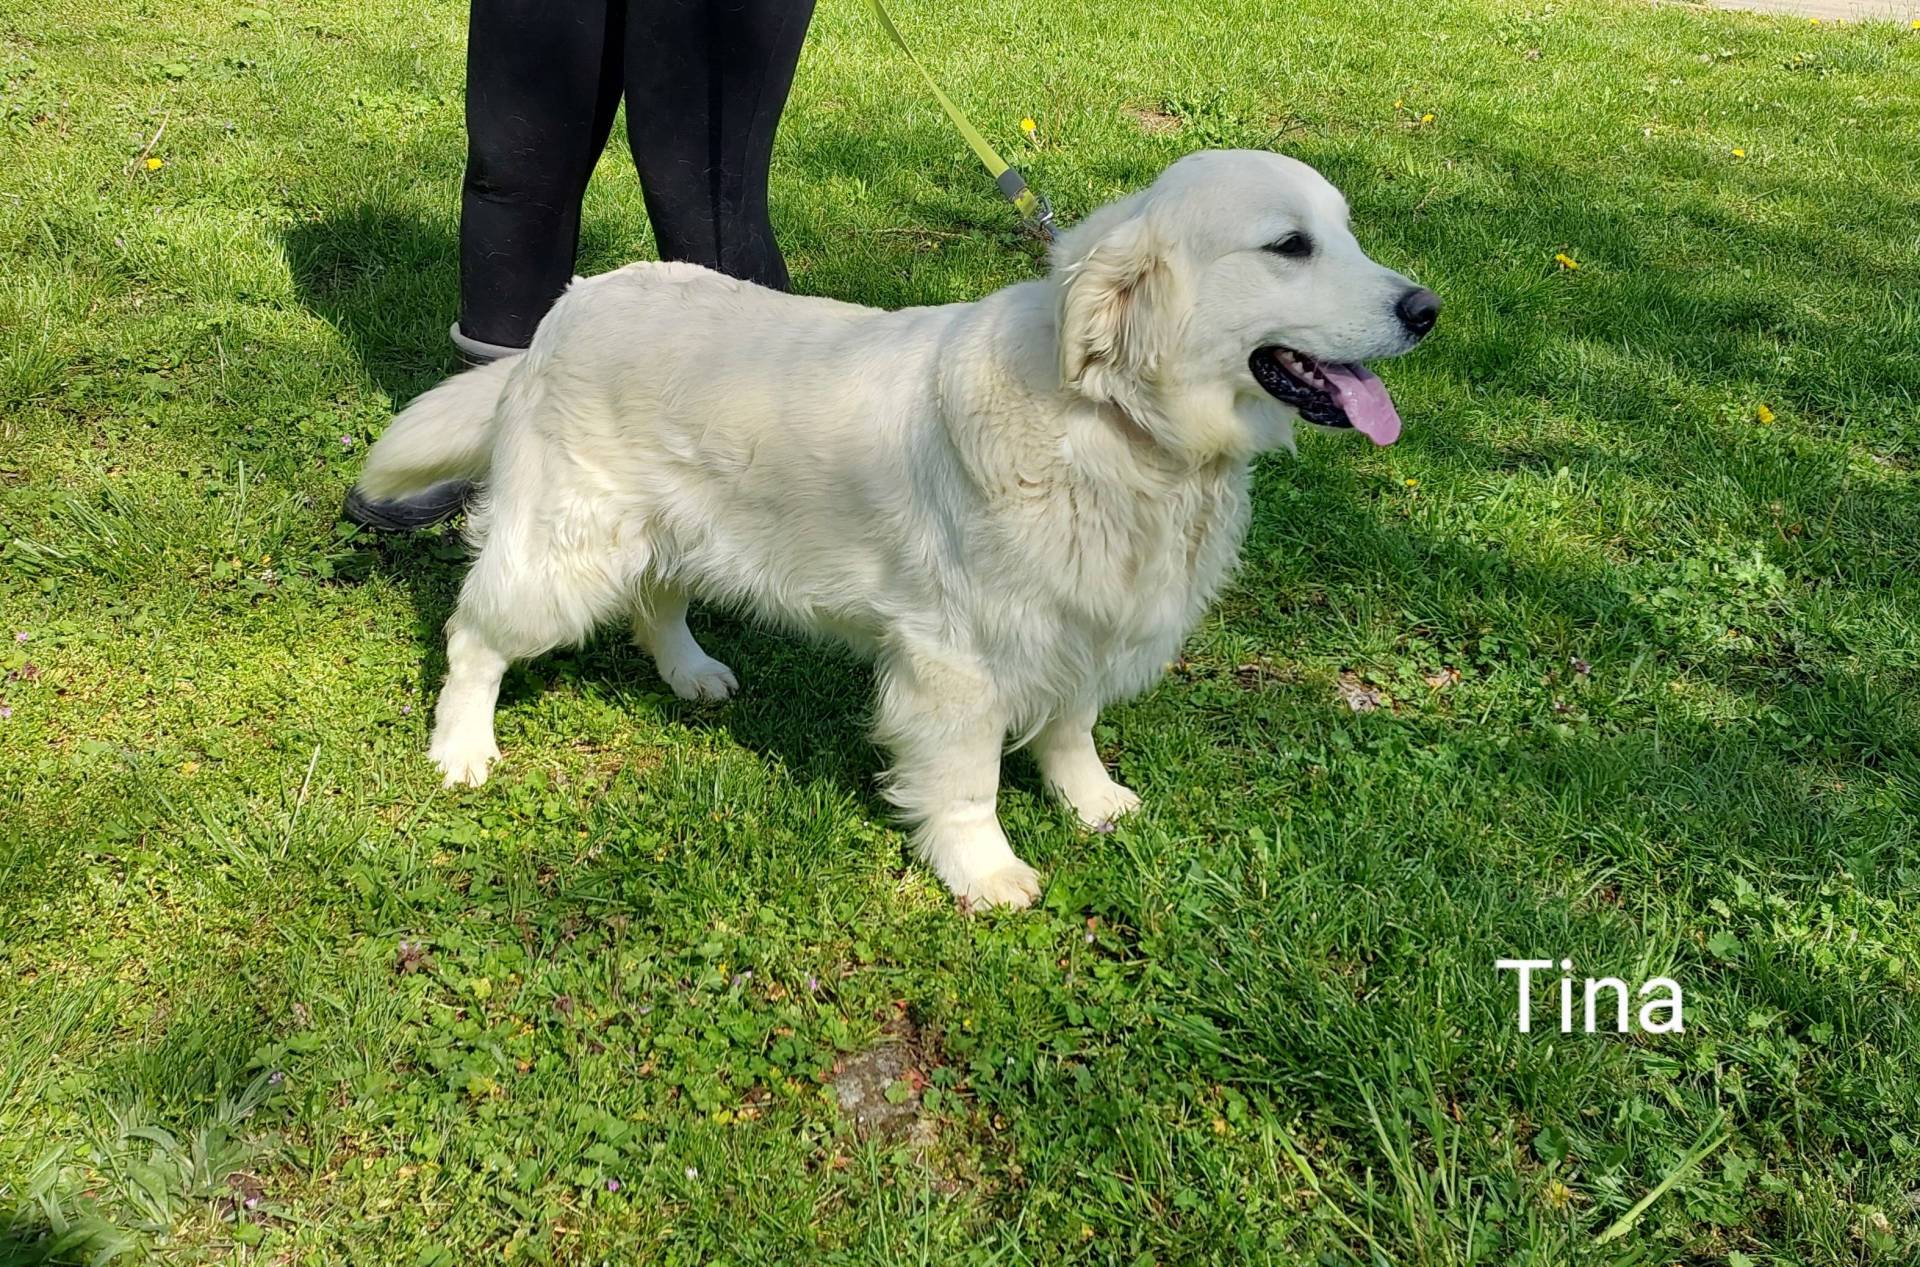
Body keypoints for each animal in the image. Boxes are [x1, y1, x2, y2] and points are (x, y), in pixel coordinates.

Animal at [353, 150, 1443, 909]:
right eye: (1290, 246)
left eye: (1345, 232)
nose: (1427, 308)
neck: (1123, 428)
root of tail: (569, 308)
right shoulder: (958, 659)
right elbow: (966, 781)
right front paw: (983, 868)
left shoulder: (1080, 620)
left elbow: (1073, 727)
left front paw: (1091, 801)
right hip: (565, 550)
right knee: (474, 635)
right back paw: (462, 746)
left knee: (656, 599)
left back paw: (691, 673)